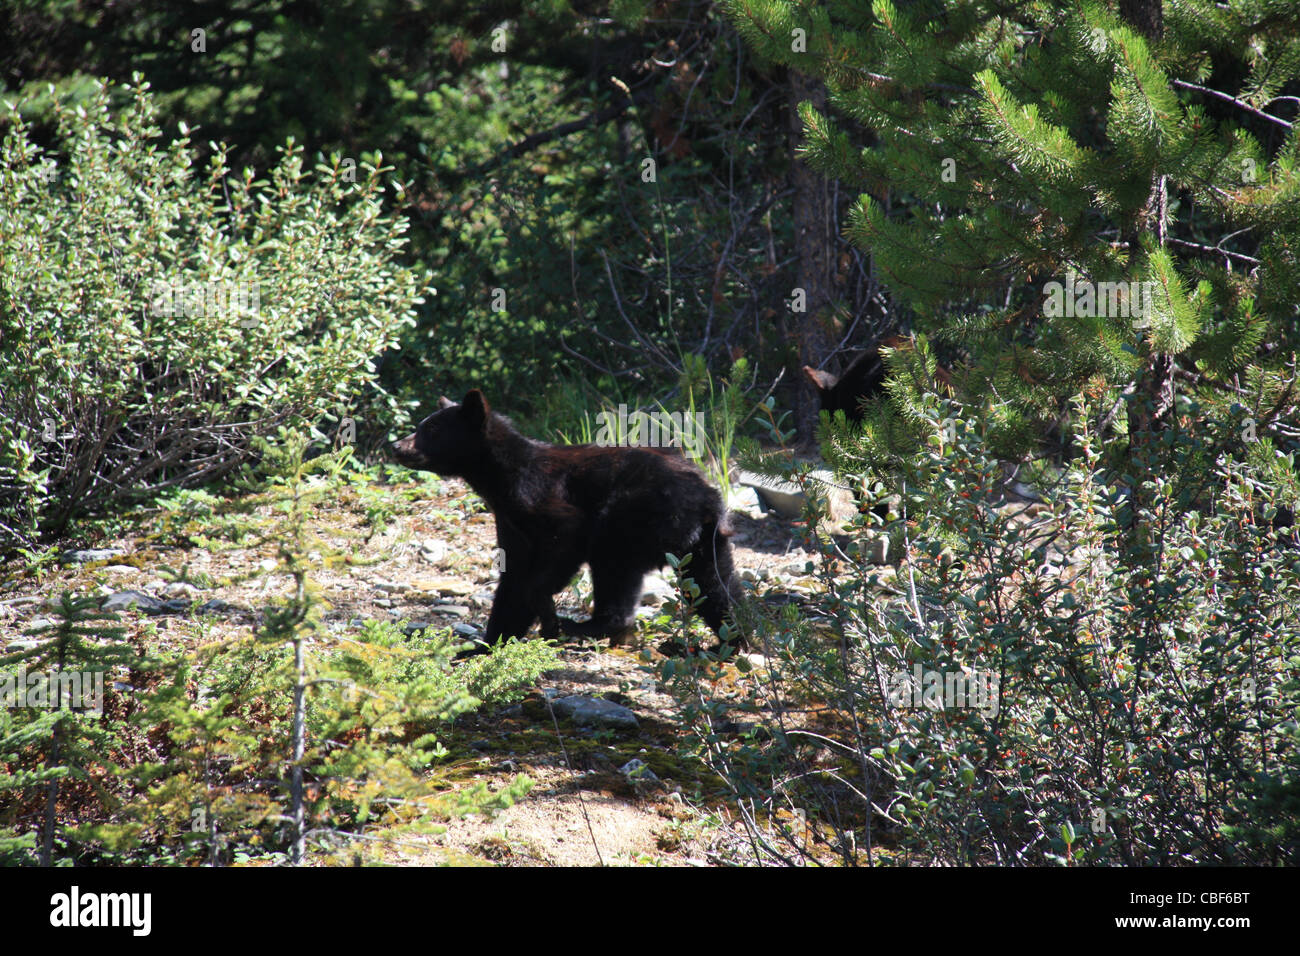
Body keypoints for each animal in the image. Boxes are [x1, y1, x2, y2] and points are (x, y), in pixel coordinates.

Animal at [390, 390, 741, 651]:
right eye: (422, 425)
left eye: (431, 430)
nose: (396, 446)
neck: (502, 478)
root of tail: (709, 498)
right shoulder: (510, 521)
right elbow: (513, 576)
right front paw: (487, 644)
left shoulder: (543, 501)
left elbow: (559, 548)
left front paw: (549, 619)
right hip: (705, 543)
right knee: (715, 584)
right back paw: (733, 639)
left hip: (637, 513)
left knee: (613, 563)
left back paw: (586, 626)